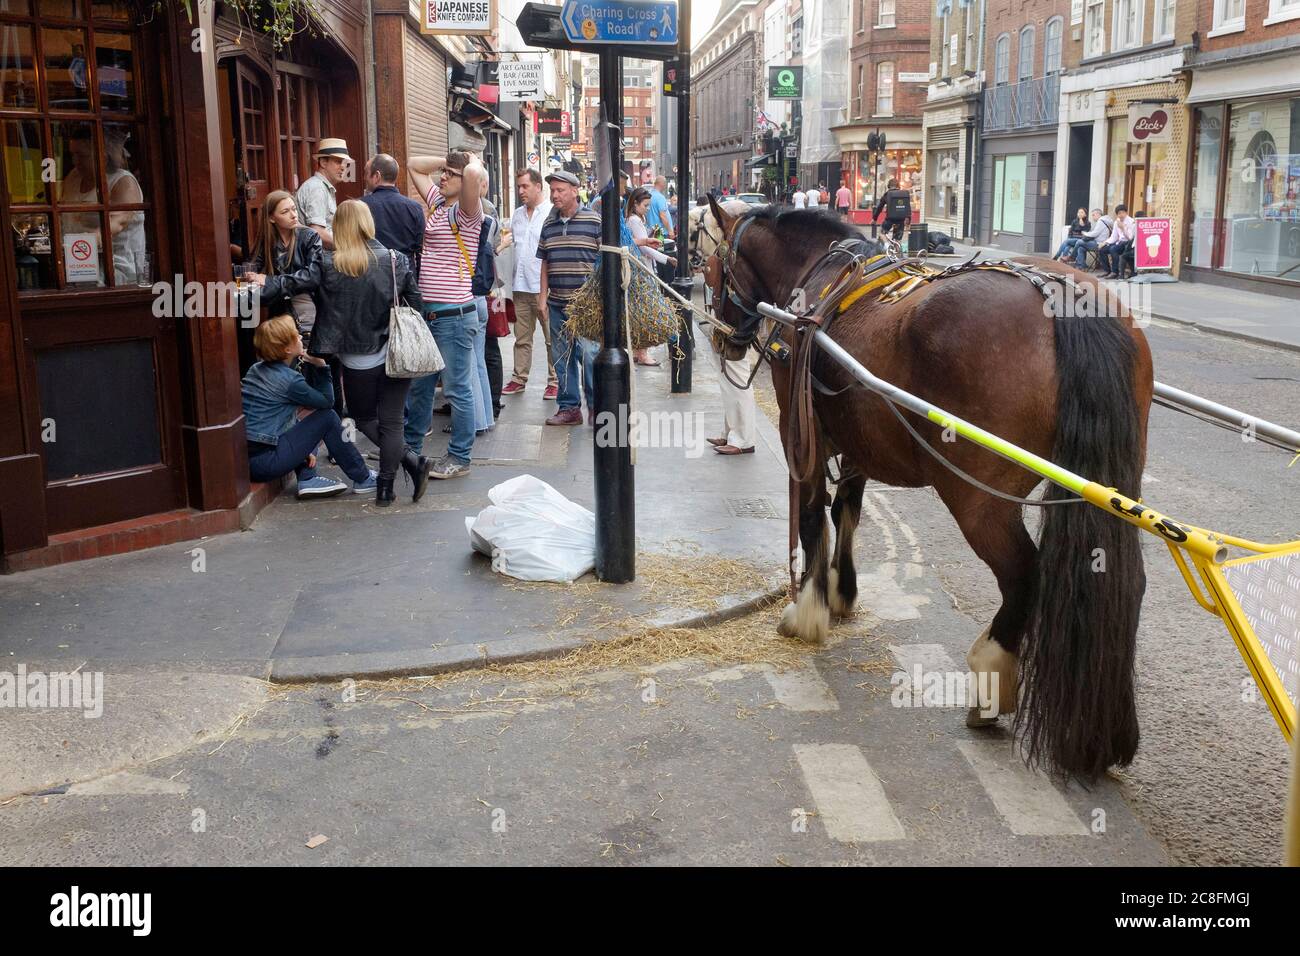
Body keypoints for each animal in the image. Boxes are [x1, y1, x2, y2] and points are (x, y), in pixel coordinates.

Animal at [704, 197, 1154, 782]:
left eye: (709, 264)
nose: (721, 338)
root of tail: (1064, 299)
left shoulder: (800, 431)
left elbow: (810, 516)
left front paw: (809, 608)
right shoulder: (861, 435)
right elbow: (847, 509)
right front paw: (842, 590)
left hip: (977, 497)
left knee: (1024, 575)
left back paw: (991, 676)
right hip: (1109, 487)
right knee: (1124, 578)